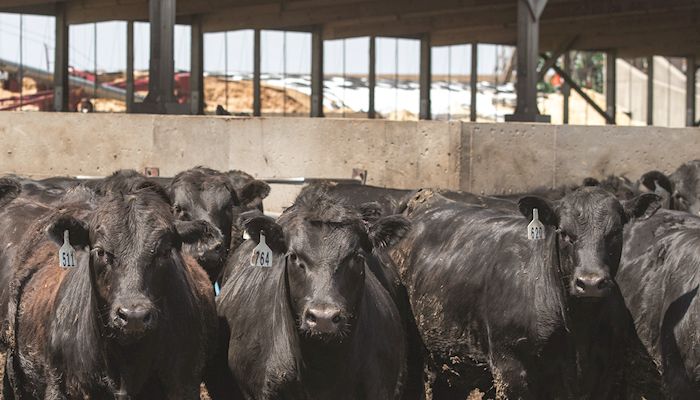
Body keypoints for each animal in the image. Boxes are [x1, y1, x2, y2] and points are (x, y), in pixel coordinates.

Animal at [392, 188, 660, 400]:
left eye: (615, 232)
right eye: (564, 233)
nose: (591, 282)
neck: (578, 328)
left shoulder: (607, 375)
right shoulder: (511, 368)